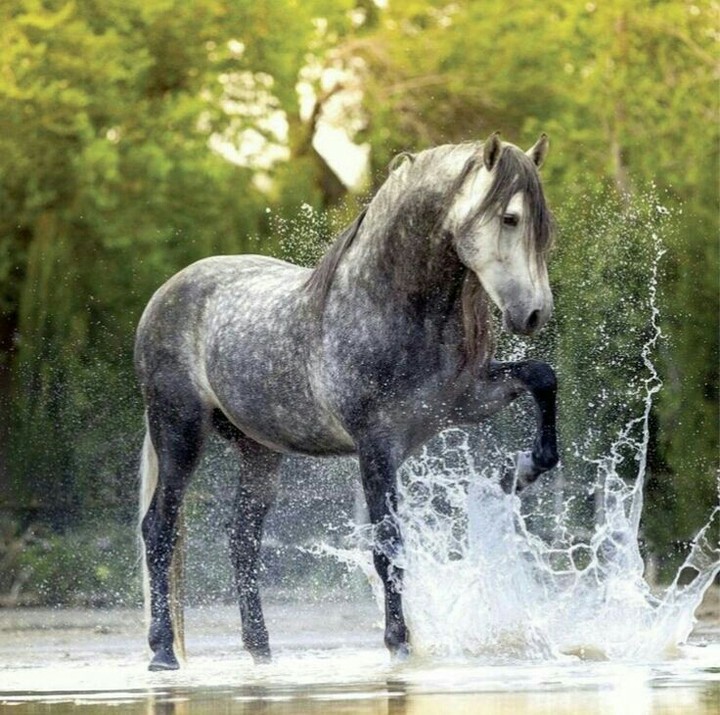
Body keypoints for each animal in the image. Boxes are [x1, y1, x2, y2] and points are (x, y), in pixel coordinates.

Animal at [136, 132, 559, 671]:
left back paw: (261, 650)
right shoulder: (377, 446)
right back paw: (162, 651)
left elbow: (542, 377)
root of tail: (166, 294)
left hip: (259, 451)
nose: (534, 314)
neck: (390, 305)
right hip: (179, 431)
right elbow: (388, 545)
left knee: (243, 539)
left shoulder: (464, 402)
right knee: (159, 530)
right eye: (509, 218)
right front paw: (399, 643)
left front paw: (520, 471)